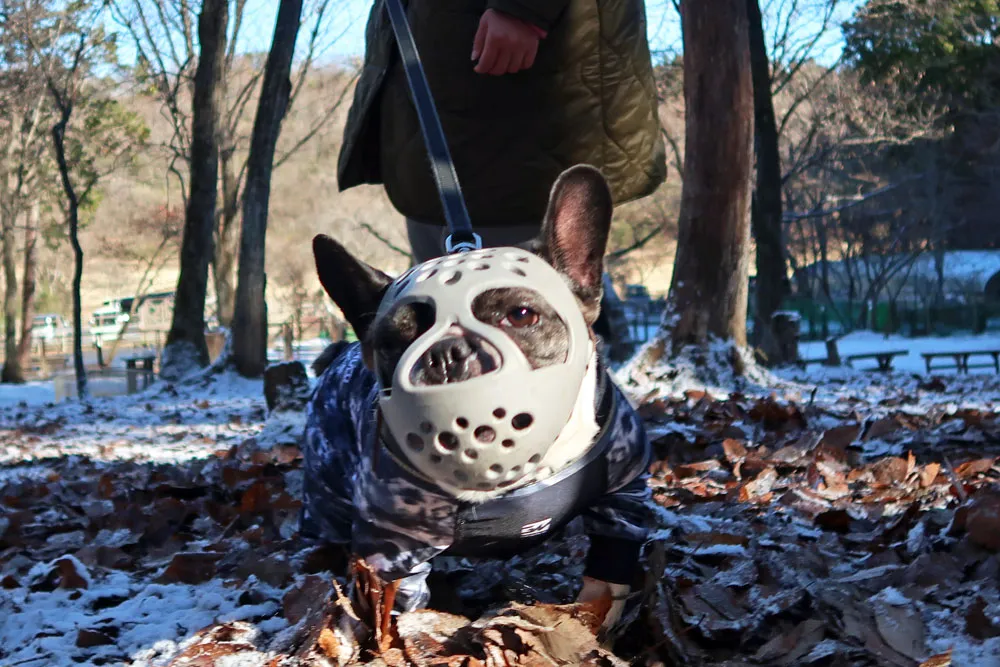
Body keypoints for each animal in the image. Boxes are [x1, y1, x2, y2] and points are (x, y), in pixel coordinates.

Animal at [300, 164, 652, 628]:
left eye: (522, 315)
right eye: (393, 343)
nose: (445, 354)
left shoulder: (624, 494)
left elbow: (609, 575)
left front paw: (595, 622)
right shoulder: (393, 544)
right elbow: (400, 606)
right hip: (326, 494)